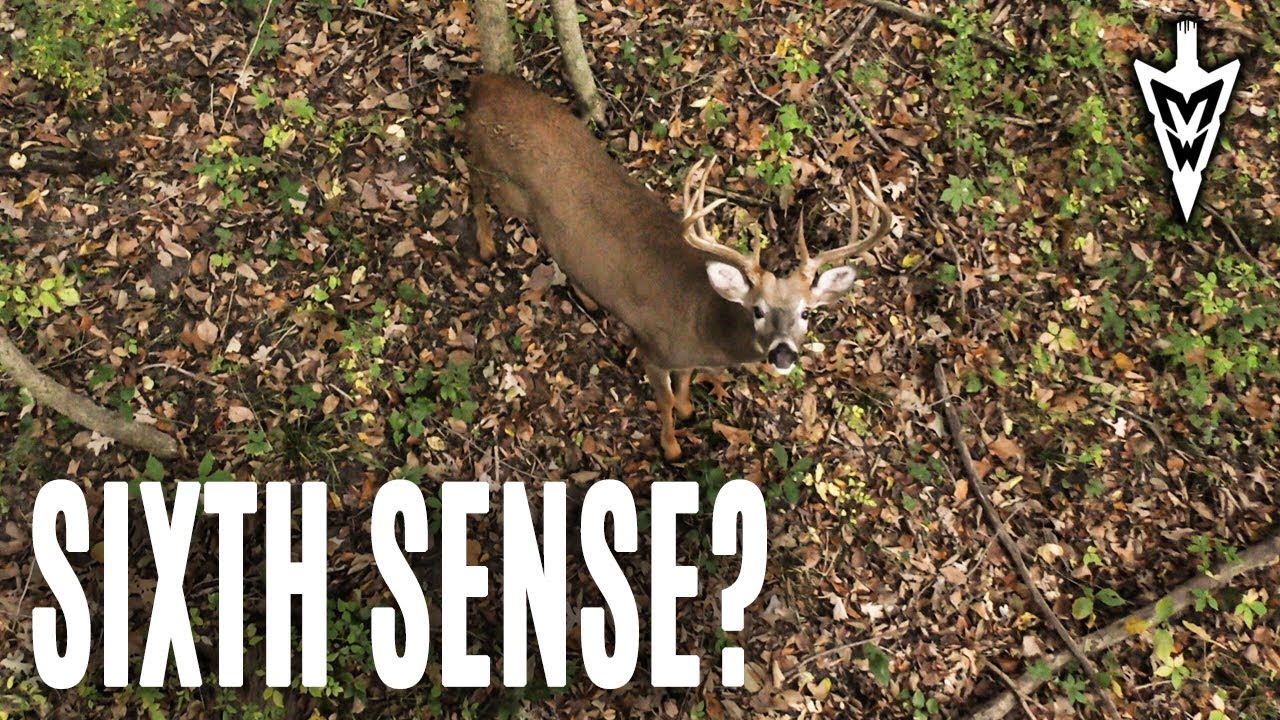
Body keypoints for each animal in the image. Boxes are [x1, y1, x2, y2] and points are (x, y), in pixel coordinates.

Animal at [464, 73, 893, 461]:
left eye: (806, 312)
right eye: (757, 309)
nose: (783, 355)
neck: (702, 323)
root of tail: (482, 84)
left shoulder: (686, 358)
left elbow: (685, 383)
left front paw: (689, 411)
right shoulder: (652, 348)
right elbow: (666, 400)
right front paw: (671, 447)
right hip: (504, 182)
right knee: (473, 176)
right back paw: (485, 245)